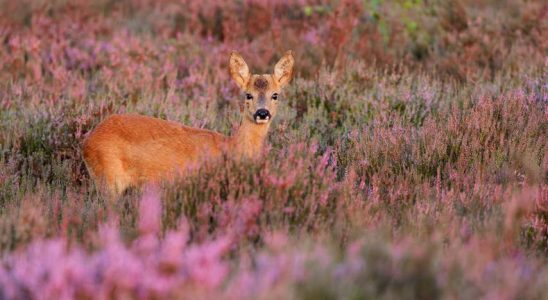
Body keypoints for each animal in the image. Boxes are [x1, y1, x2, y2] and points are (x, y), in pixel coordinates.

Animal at [82, 51, 294, 197]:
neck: (231, 147)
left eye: (275, 95)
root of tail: (88, 141)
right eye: (248, 94)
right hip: (109, 180)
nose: (262, 113)